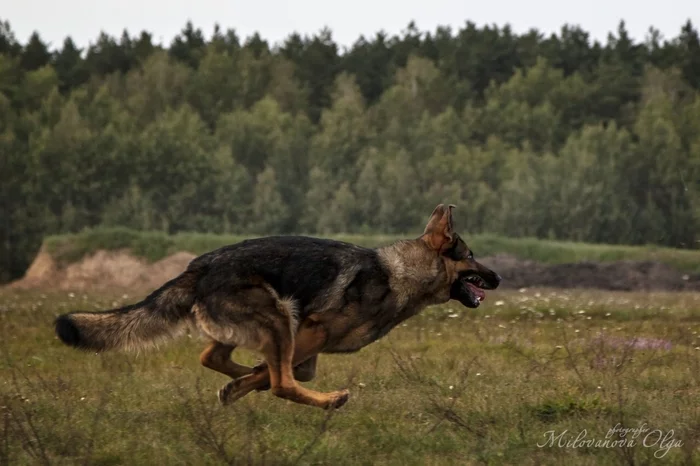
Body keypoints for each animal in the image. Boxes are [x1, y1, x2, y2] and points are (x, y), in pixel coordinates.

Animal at [56, 206, 504, 410]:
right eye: (470, 255)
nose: (499, 278)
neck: (399, 273)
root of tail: (198, 267)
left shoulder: (307, 342)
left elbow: (281, 371)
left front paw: (241, 383)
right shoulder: (311, 330)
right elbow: (283, 377)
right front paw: (249, 383)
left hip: (267, 323)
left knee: (215, 356)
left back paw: (244, 378)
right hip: (278, 317)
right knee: (280, 382)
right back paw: (326, 399)